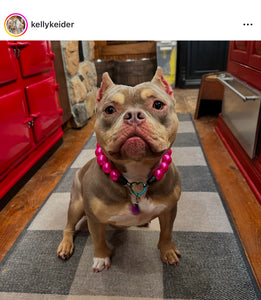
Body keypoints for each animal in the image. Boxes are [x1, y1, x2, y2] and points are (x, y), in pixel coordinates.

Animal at [56, 67, 181, 274]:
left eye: (157, 104)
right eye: (109, 110)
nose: (133, 115)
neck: (136, 178)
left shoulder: (169, 210)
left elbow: (167, 233)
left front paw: (168, 251)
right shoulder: (95, 219)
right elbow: (98, 239)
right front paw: (101, 258)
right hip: (76, 204)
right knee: (68, 226)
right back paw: (65, 245)